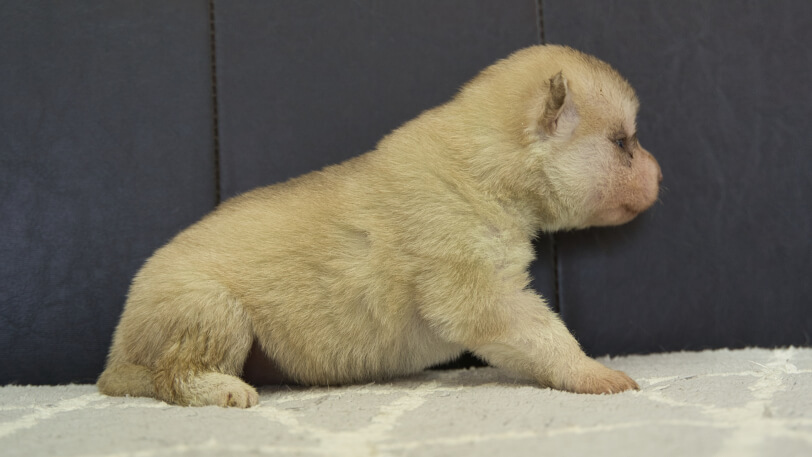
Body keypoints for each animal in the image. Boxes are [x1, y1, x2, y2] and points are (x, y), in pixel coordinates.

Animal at [98, 45, 664, 406]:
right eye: (622, 143)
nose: (661, 174)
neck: (485, 167)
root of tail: (114, 358)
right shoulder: (479, 294)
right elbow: (547, 334)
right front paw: (593, 373)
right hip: (211, 307)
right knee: (173, 375)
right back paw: (222, 389)